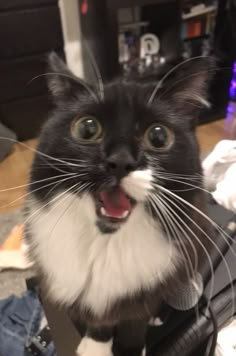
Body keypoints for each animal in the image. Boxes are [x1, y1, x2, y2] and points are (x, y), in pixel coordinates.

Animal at [25, 53, 214, 356]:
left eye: (158, 136)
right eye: (87, 128)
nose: (121, 161)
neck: (107, 242)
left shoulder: (150, 286)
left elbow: (135, 321)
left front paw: (130, 348)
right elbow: (100, 319)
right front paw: (94, 345)